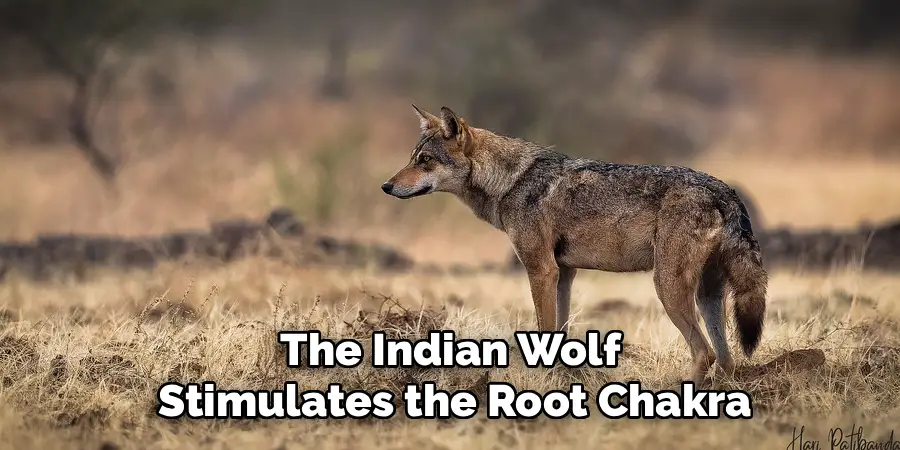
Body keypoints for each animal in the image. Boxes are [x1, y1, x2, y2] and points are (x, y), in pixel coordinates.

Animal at [381, 105, 768, 383]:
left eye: (425, 161)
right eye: (413, 157)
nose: (386, 186)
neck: (510, 182)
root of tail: (725, 190)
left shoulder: (541, 270)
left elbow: (544, 328)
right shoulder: (564, 273)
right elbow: (559, 330)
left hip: (667, 287)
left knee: (706, 353)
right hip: (707, 295)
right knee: (727, 358)